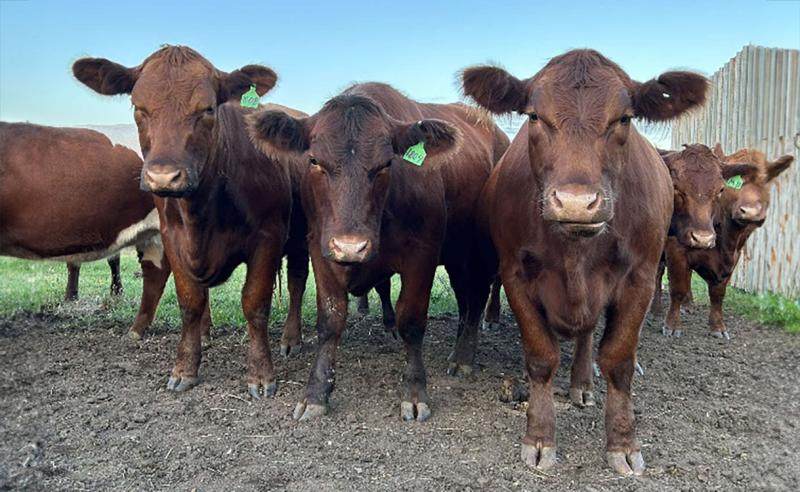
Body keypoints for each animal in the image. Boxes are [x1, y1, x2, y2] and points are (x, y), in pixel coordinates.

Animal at [72, 45, 309, 398]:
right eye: (138, 107)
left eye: (207, 108)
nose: (163, 176)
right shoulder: (173, 238)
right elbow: (190, 303)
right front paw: (185, 368)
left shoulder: (269, 237)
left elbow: (255, 303)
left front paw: (261, 375)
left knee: (296, 282)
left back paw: (291, 340)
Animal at [248, 82, 509, 421]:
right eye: (314, 161)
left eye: (386, 164)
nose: (350, 245)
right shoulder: (320, 248)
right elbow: (330, 320)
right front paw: (316, 393)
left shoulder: (422, 255)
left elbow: (411, 321)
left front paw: (414, 393)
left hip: (473, 250)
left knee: (476, 297)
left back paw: (463, 357)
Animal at [462, 49, 709, 475]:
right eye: (534, 116)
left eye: (623, 118)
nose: (576, 202)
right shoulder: (515, 275)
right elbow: (541, 357)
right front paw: (539, 437)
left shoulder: (641, 279)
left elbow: (618, 360)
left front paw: (623, 443)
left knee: (587, 335)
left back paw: (582, 383)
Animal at [659, 144, 793, 338]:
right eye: (733, 186)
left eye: (765, 181)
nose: (751, 212)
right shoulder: (676, 250)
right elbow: (677, 288)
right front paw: (672, 326)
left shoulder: (734, 257)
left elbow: (718, 294)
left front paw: (718, 327)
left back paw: (688, 305)